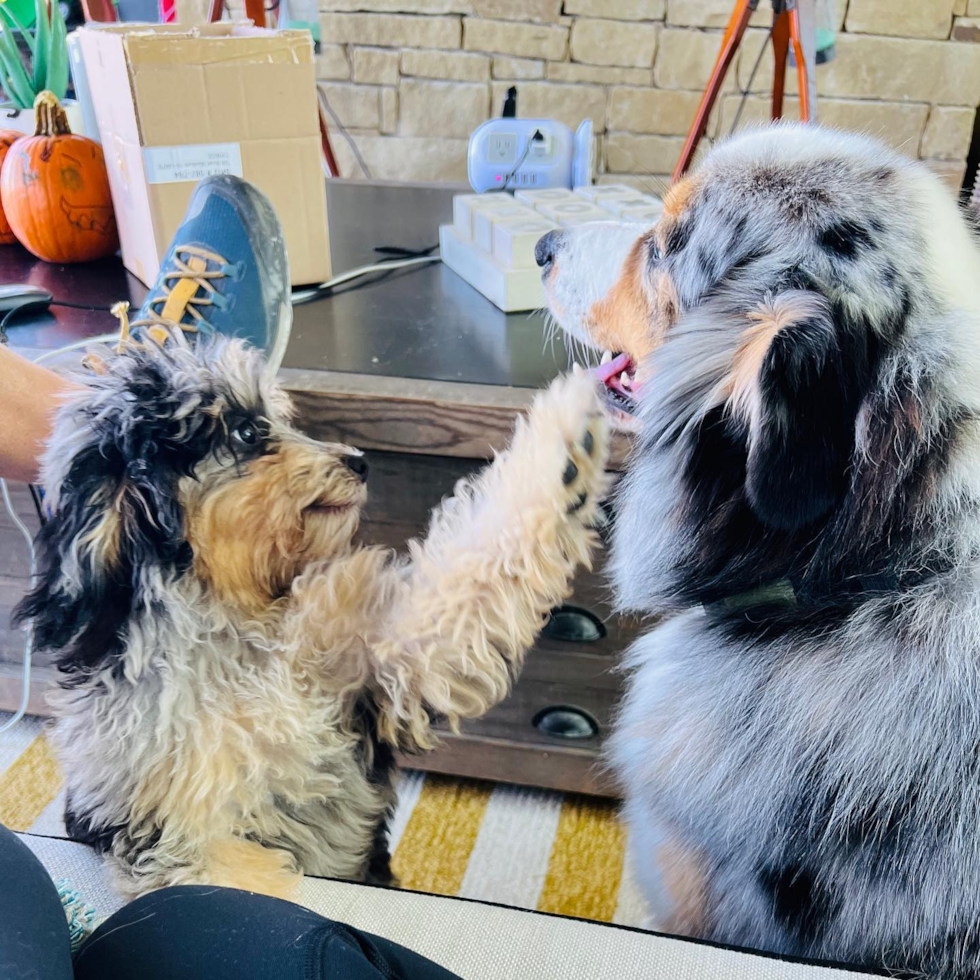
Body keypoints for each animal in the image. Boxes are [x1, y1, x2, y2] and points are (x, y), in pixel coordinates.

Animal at [15, 334, 608, 900]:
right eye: (248, 431)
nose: (359, 460)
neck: (236, 627)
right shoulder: (173, 828)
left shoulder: (388, 659)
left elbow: (472, 560)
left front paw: (569, 439)